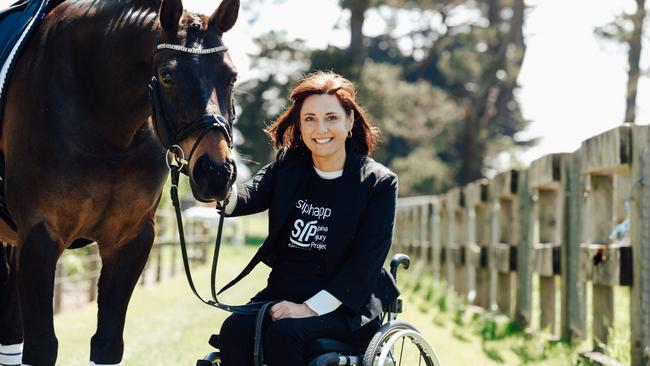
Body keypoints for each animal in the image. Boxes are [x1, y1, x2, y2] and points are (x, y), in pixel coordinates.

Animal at [0, 0, 239, 364]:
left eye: (232, 76)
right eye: (167, 75)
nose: (215, 172)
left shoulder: (131, 239)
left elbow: (107, 343)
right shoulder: (40, 236)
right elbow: (42, 345)